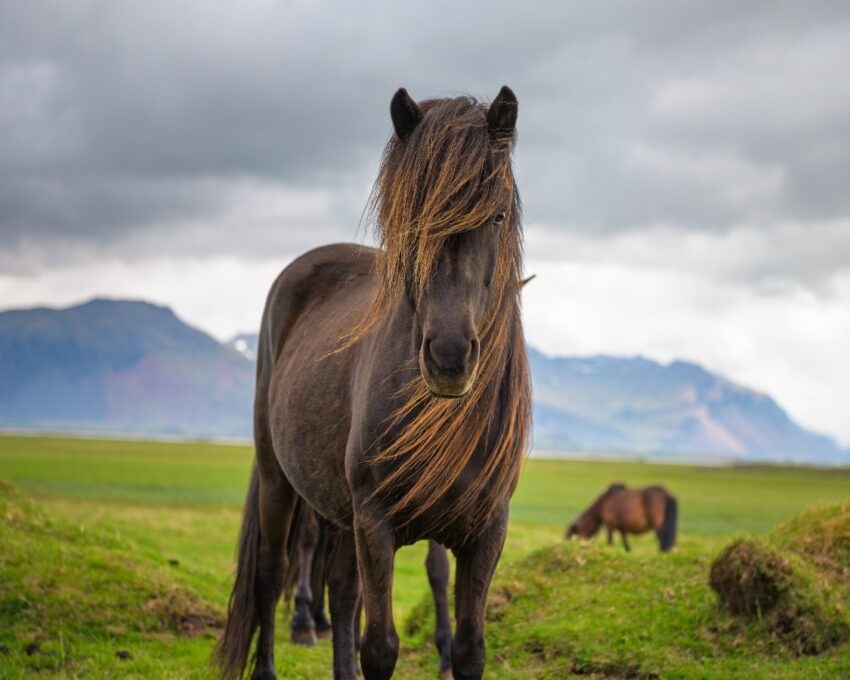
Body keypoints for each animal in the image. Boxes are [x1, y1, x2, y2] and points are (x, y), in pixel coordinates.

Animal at [286, 502, 453, 677]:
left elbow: (438, 568)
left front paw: (446, 656)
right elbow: (309, 535)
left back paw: (320, 619)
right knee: (310, 534)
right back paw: (304, 623)